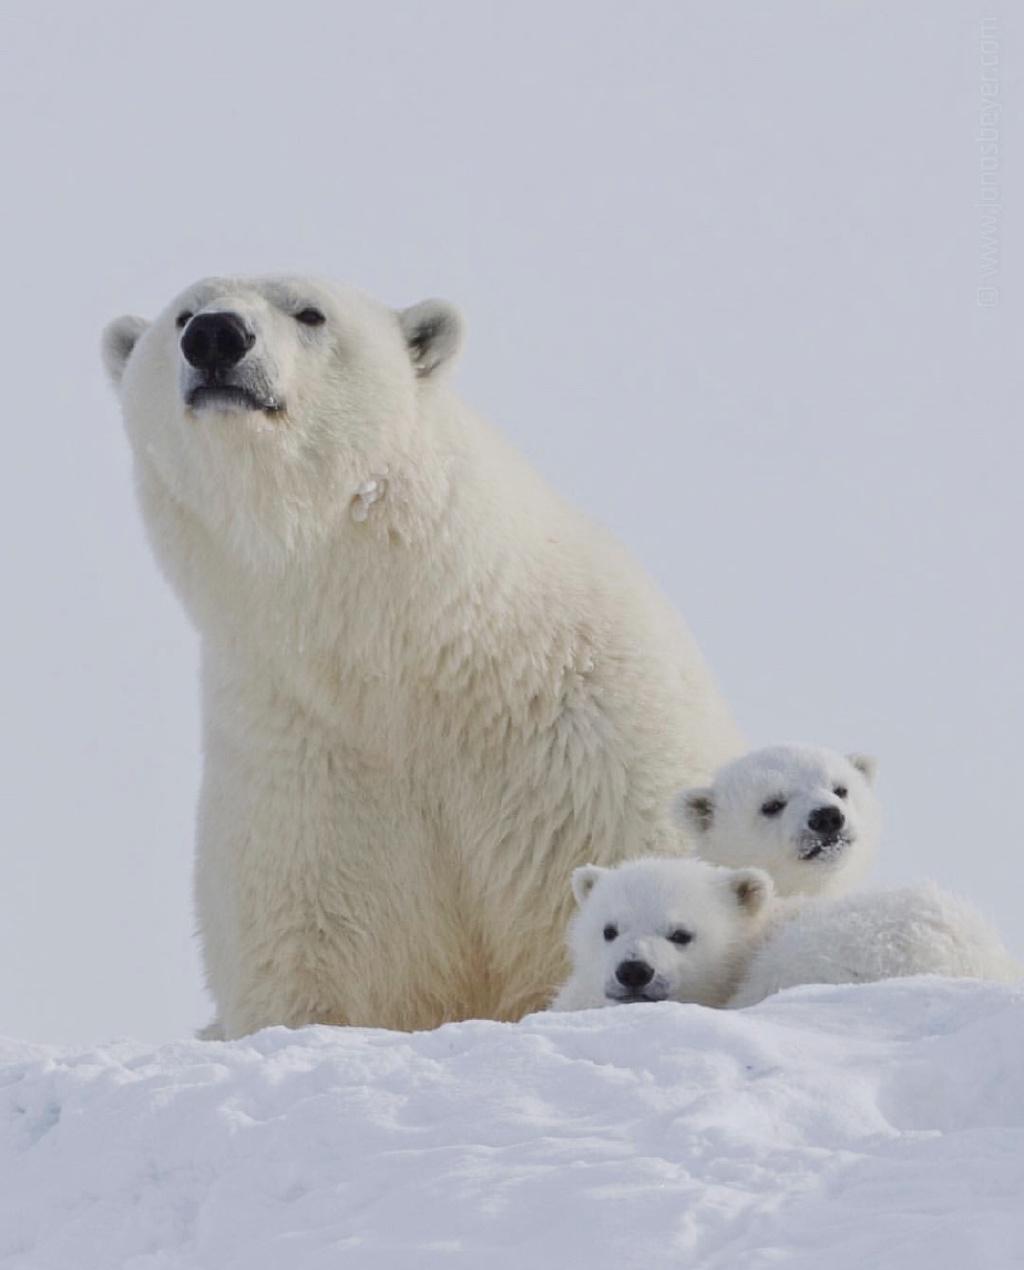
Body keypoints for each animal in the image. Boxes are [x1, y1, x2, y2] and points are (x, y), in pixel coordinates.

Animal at [104, 273, 741, 1036]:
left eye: (310, 311)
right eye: (182, 316)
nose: (217, 337)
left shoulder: (589, 757)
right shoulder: (303, 777)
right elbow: (317, 959)